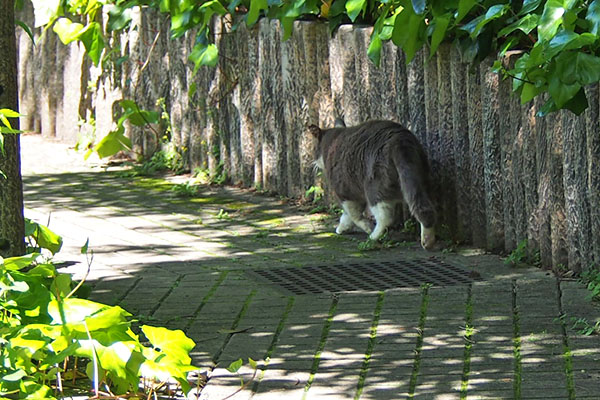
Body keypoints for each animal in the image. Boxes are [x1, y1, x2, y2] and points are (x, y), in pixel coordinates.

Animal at [310, 119, 436, 250]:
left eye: (314, 150)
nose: (314, 162)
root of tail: (399, 141)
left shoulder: (345, 191)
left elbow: (353, 214)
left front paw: (366, 227)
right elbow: (347, 215)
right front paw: (342, 228)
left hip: (374, 186)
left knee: (385, 217)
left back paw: (373, 237)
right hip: (420, 179)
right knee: (425, 207)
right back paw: (427, 240)